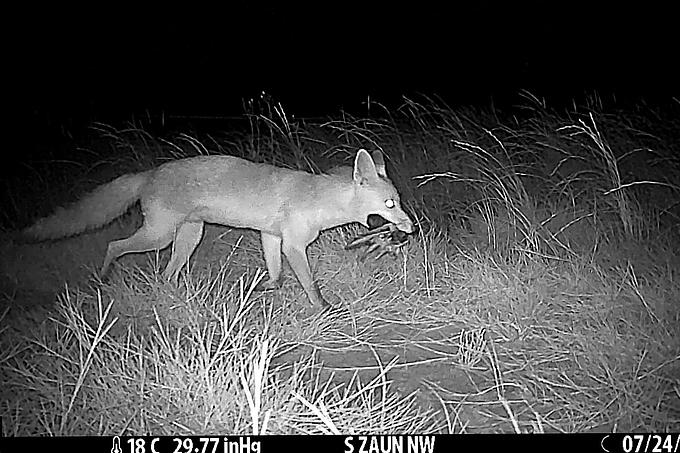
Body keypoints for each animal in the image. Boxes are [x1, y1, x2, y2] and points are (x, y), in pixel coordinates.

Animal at [23, 149, 414, 308]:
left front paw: (265, 290)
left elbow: (276, 276)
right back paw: (104, 277)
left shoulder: (271, 236)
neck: (319, 201)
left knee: (167, 273)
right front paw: (325, 309)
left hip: (188, 238)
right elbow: (310, 285)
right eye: (390, 205)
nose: (411, 228)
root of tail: (149, 173)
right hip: (159, 236)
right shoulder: (293, 245)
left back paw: (176, 295)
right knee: (114, 246)